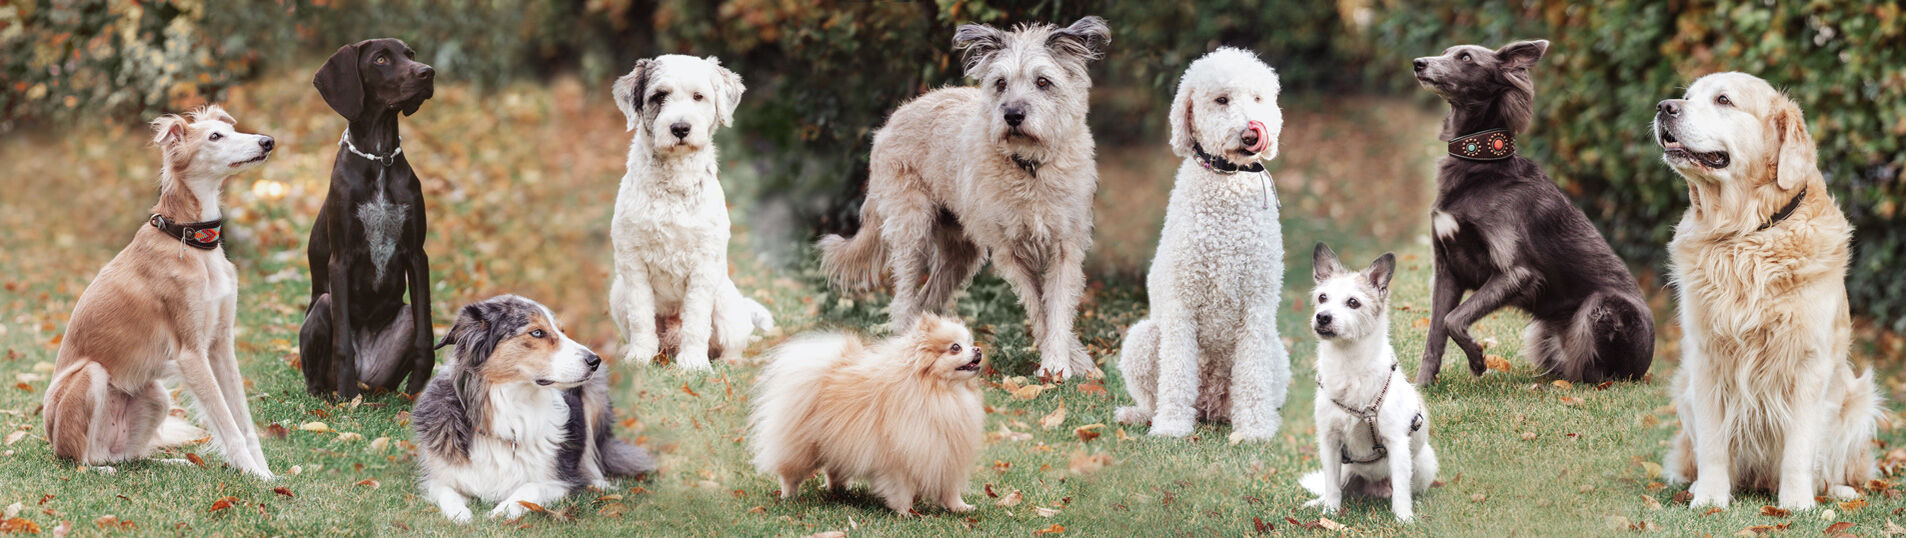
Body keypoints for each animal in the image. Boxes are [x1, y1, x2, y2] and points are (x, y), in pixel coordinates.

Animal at [823, 16, 1113, 377]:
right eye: (1001, 83)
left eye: (1043, 82)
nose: (1012, 116)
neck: (1029, 169)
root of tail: (894, 118)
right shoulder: (1010, 253)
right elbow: (1040, 309)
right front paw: (1056, 367)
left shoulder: (1065, 248)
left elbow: (1056, 309)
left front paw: (1068, 363)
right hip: (912, 232)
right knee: (903, 300)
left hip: (959, 254)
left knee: (926, 301)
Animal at [1410, 41, 1662, 385]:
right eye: (1447, 51)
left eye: (1466, 58)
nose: (1418, 63)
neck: (1480, 166)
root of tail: (1645, 369)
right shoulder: (1445, 267)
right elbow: (1436, 331)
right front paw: (1421, 386)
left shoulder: (1518, 271)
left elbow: (1453, 319)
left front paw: (1477, 359)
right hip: (1541, 332)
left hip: (1604, 307)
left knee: (1597, 373)